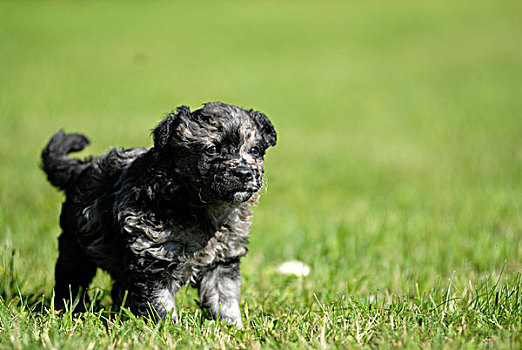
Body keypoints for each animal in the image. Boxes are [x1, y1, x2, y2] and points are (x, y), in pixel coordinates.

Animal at [41, 102, 276, 326]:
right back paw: (69, 308)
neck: (202, 207)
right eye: (212, 149)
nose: (244, 173)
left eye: (255, 150)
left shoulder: (222, 260)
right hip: (75, 243)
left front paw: (232, 326)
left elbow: (224, 298)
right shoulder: (152, 255)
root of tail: (81, 167)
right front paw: (168, 329)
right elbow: (160, 303)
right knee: (71, 278)